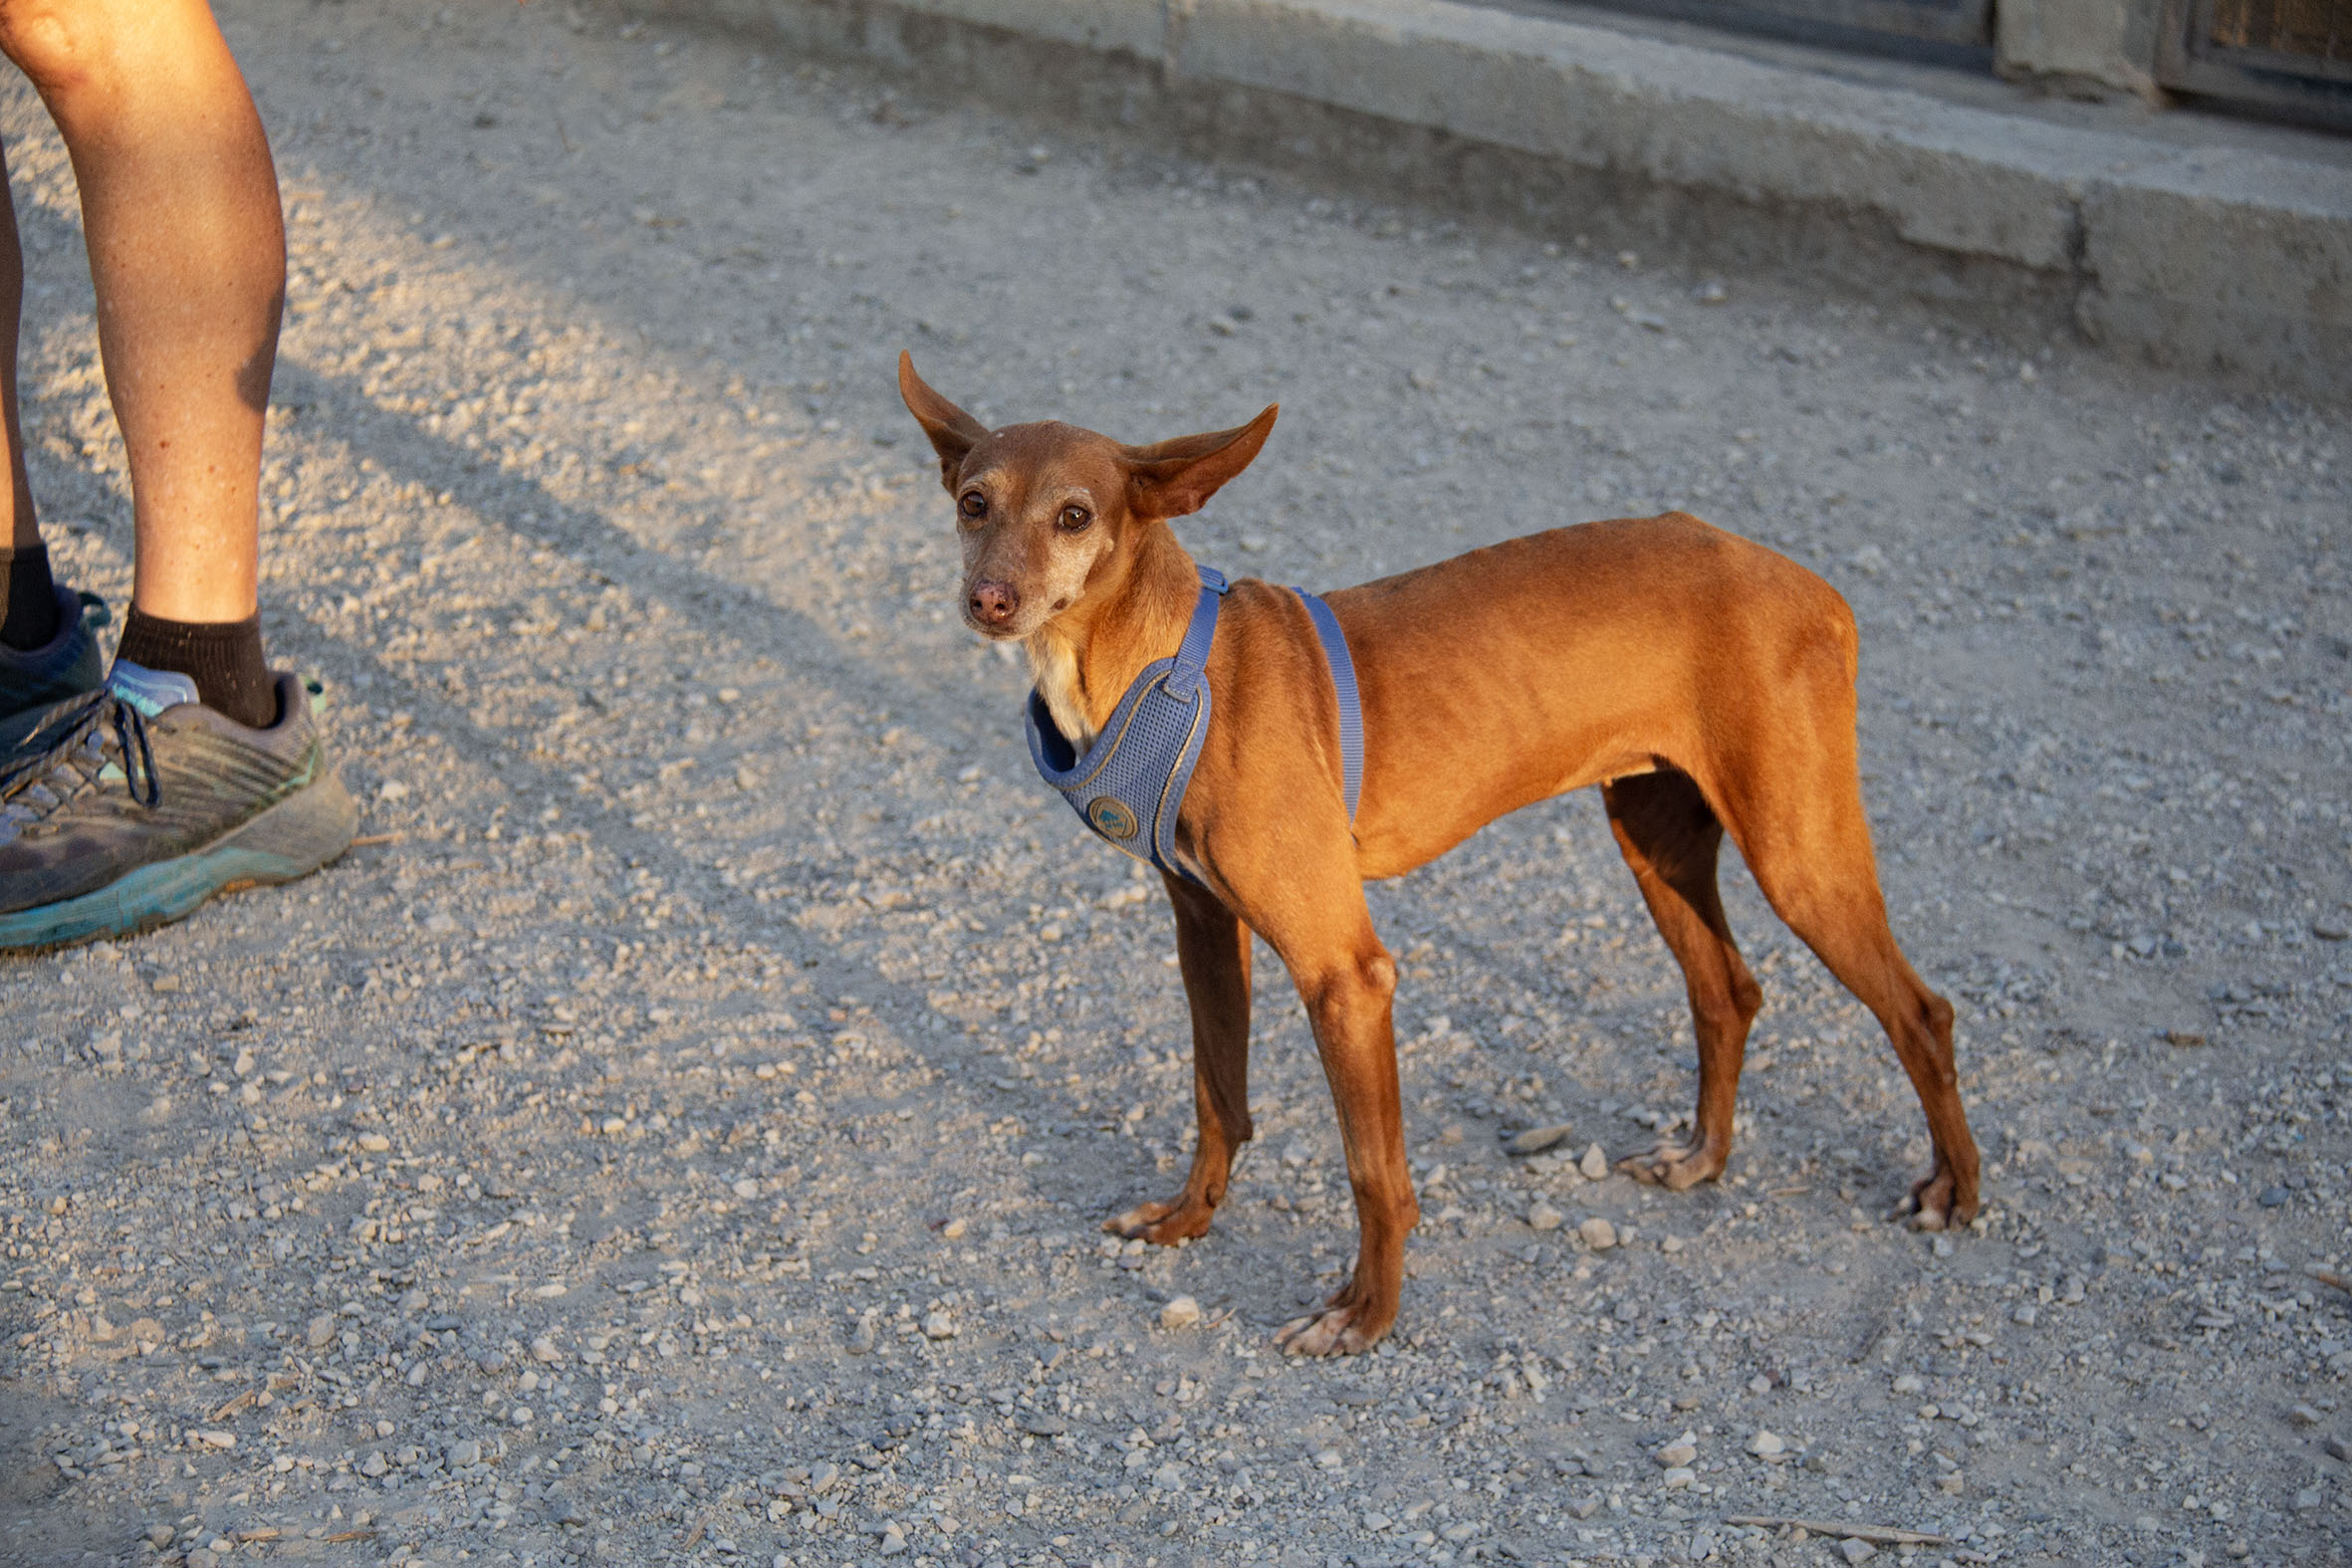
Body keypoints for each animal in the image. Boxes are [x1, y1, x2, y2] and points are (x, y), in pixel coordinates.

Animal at [898, 353, 1979, 1355]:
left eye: (1075, 516)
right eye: (972, 502)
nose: (990, 599)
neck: (1162, 662)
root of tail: (1807, 583)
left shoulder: (1347, 973)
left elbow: (1374, 1170)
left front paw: (1363, 1317)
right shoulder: (1202, 926)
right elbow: (1217, 1095)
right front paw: (1186, 1219)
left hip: (1797, 854)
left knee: (1920, 1011)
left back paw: (1954, 1192)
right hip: (1656, 839)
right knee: (1727, 989)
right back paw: (1700, 1158)